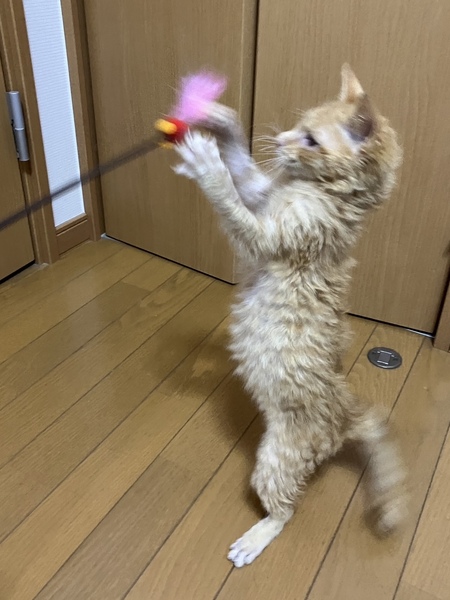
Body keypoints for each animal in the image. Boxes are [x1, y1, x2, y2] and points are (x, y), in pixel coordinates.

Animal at [173, 64, 406, 568]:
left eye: (312, 140)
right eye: (299, 127)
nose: (279, 140)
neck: (324, 194)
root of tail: (345, 417)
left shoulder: (268, 235)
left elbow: (231, 200)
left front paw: (207, 164)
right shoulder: (262, 194)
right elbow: (243, 169)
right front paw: (222, 121)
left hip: (276, 460)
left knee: (284, 510)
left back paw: (254, 539)